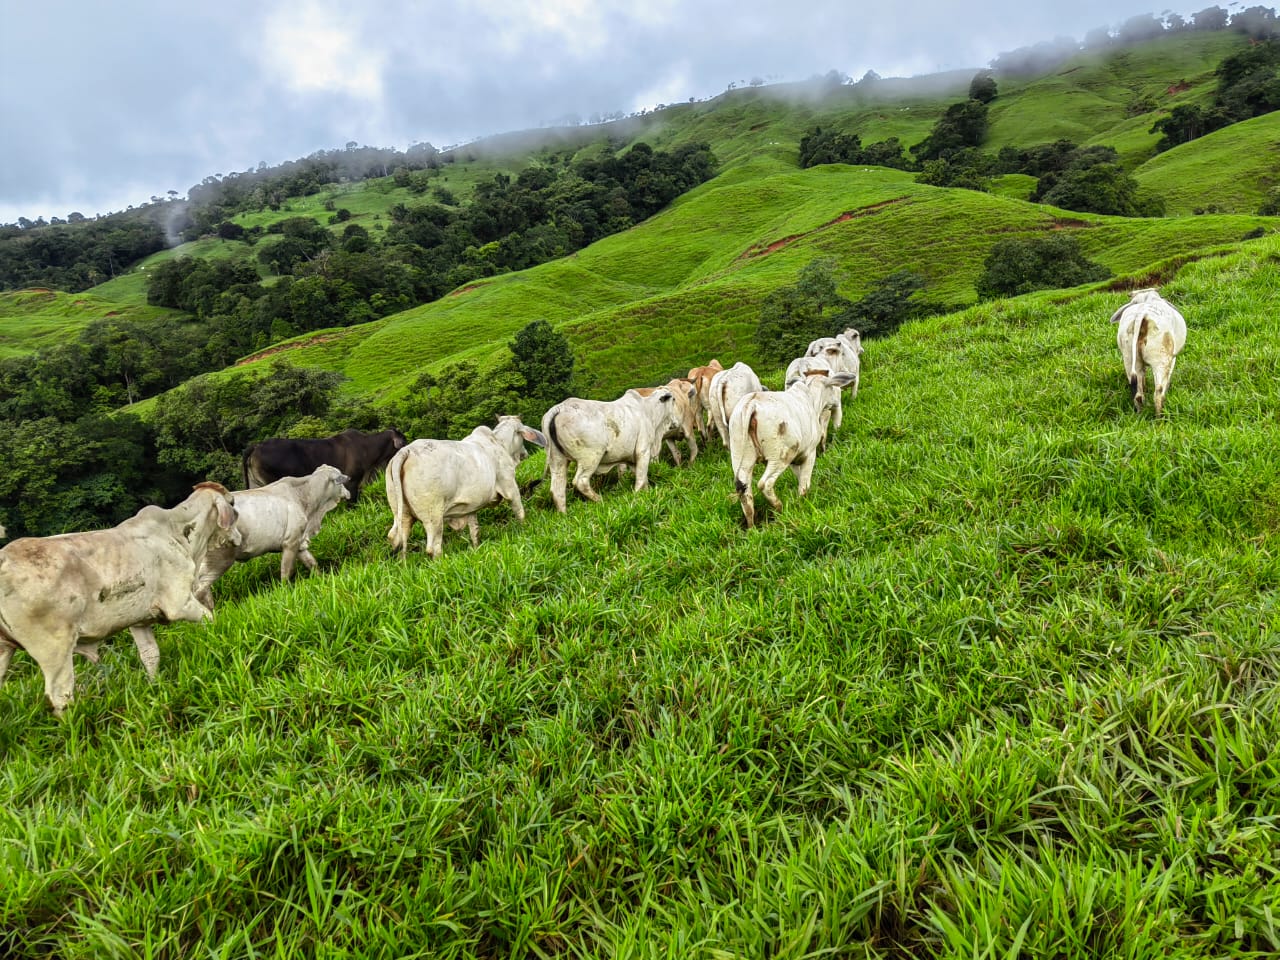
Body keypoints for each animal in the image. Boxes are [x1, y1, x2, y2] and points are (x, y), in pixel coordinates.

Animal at [0, 483, 238, 715]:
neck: (178, 533)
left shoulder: (140, 620)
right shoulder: (180, 603)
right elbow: (210, 619)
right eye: (233, 504)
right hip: (55, 650)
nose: (238, 537)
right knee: (60, 696)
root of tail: (4, 558)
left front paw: (154, 685)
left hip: (5, 649)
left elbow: (150, 655)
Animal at [194, 465, 351, 608]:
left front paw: (322, 579)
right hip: (220, 560)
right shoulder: (290, 543)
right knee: (199, 589)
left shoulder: (299, 542)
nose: (348, 493)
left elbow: (312, 563)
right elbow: (286, 571)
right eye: (341, 481)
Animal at [385, 416, 546, 559]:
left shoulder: (471, 507)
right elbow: (520, 512)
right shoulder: (510, 486)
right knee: (433, 546)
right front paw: (524, 529)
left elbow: (474, 530)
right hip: (433, 516)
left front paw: (476, 548)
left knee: (397, 538)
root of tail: (406, 451)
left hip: (402, 513)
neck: (499, 443)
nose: (525, 453)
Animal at [542, 388, 681, 513]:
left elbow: (643, 479)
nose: (676, 423)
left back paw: (564, 516)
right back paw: (601, 501)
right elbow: (641, 479)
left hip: (557, 460)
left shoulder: (632, 460)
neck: (649, 411)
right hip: (591, 458)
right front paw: (637, 498)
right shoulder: (643, 451)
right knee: (580, 481)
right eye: (673, 399)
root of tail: (559, 408)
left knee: (557, 490)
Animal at [729, 370, 858, 528]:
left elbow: (799, 478)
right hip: (780, 456)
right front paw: (802, 502)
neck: (810, 399)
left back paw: (751, 526)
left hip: (740, 457)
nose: (836, 403)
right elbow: (804, 484)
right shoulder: (810, 453)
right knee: (765, 484)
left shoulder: (795, 460)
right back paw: (779, 508)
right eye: (834, 387)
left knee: (745, 491)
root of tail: (752, 403)